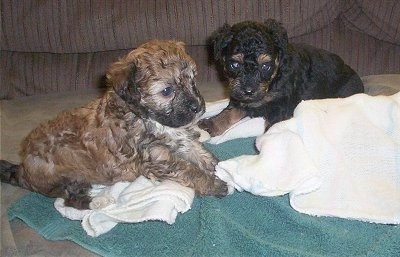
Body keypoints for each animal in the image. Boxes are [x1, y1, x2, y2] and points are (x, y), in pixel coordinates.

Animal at [0, 39, 227, 208]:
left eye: (192, 80)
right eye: (167, 91)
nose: (197, 107)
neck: (148, 118)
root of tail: (23, 169)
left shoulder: (181, 140)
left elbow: (200, 154)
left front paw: (221, 167)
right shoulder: (158, 159)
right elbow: (189, 170)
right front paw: (214, 184)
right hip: (59, 173)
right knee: (70, 198)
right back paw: (99, 201)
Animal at [198, 19, 364, 136]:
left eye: (266, 66)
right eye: (234, 65)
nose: (249, 91)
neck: (274, 79)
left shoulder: (280, 106)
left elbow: (271, 128)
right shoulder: (241, 97)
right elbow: (230, 111)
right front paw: (213, 124)